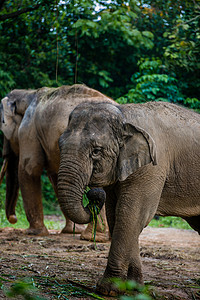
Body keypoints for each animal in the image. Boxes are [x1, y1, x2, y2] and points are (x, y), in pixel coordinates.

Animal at [0, 83, 114, 240]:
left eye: (3, 130)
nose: (13, 218)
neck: (27, 94)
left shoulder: (28, 130)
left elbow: (30, 169)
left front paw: (33, 233)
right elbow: (55, 177)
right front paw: (70, 231)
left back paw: (91, 238)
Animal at [56, 100, 200, 296]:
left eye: (96, 151)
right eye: (59, 145)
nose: (94, 194)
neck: (125, 115)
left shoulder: (152, 167)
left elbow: (132, 215)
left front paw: (107, 290)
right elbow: (116, 216)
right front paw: (134, 288)